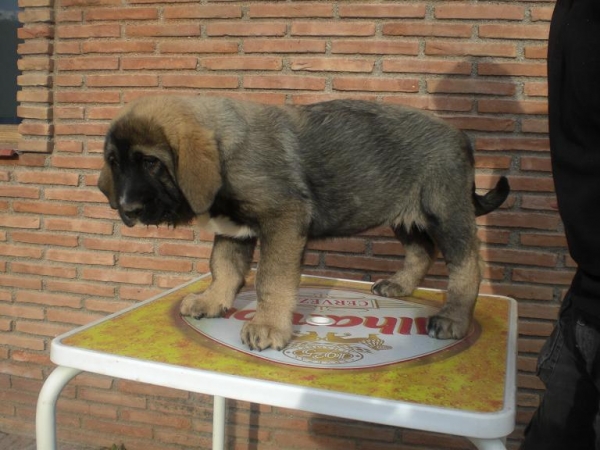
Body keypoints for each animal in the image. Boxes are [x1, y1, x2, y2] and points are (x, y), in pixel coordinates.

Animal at [99, 96, 510, 352]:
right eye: (114, 163)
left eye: (151, 162)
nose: (127, 209)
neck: (228, 154)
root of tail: (463, 138)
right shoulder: (233, 230)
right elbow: (224, 269)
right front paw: (212, 301)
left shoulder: (283, 219)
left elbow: (271, 280)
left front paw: (268, 326)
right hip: (403, 215)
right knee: (421, 252)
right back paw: (401, 285)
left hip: (445, 211)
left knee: (466, 265)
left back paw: (453, 318)